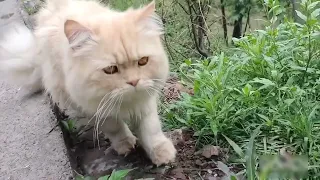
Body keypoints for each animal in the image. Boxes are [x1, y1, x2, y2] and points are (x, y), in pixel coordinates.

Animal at [0, 0, 175, 166]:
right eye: (110, 69)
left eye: (143, 61)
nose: (134, 81)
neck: (125, 103)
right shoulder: (95, 109)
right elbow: (115, 128)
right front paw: (125, 144)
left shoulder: (146, 101)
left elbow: (151, 129)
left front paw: (161, 152)